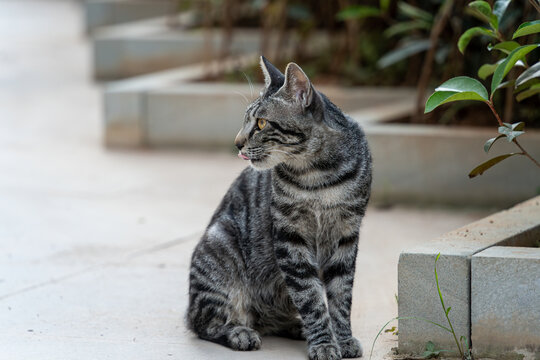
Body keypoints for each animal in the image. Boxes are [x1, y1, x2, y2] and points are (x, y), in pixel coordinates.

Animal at [186, 57, 372, 360]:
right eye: (246, 120)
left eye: (261, 123)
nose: (237, 143)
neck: (319, 176)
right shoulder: (289, 237)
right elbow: (309, 296)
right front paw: (323, 343)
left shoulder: (346, 234)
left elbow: (340, 296)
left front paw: (342, 339)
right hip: (220, 245)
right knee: (205, 322)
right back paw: (240, 332)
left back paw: (295, 327)